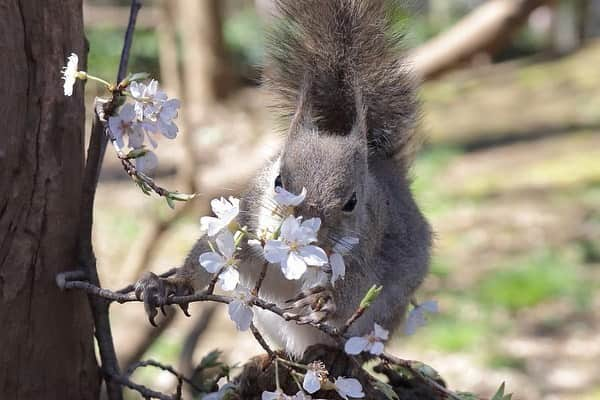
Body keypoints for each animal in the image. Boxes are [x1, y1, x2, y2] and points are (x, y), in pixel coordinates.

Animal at [135, 0, 432, 358]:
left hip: (383, 317)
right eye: (278, 182)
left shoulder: (372, 246)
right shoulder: (246, 222)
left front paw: (325, 297)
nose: (302, 229)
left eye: (352, 202)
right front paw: (169, 283)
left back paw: (335, 357)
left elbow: (360, 282)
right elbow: (204, 257)